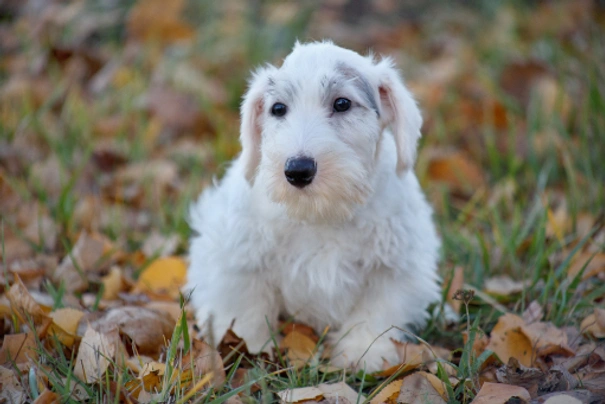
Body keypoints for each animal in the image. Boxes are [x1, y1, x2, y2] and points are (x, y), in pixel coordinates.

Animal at [186, 41, 442, 372]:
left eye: (342, 103)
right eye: (278, 108)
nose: (298, 170)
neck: (321, 213)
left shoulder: (394, 268)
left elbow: (376, 315)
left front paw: (364, 354)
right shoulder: (240, 259)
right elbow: (245, 310)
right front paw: (248, 348)